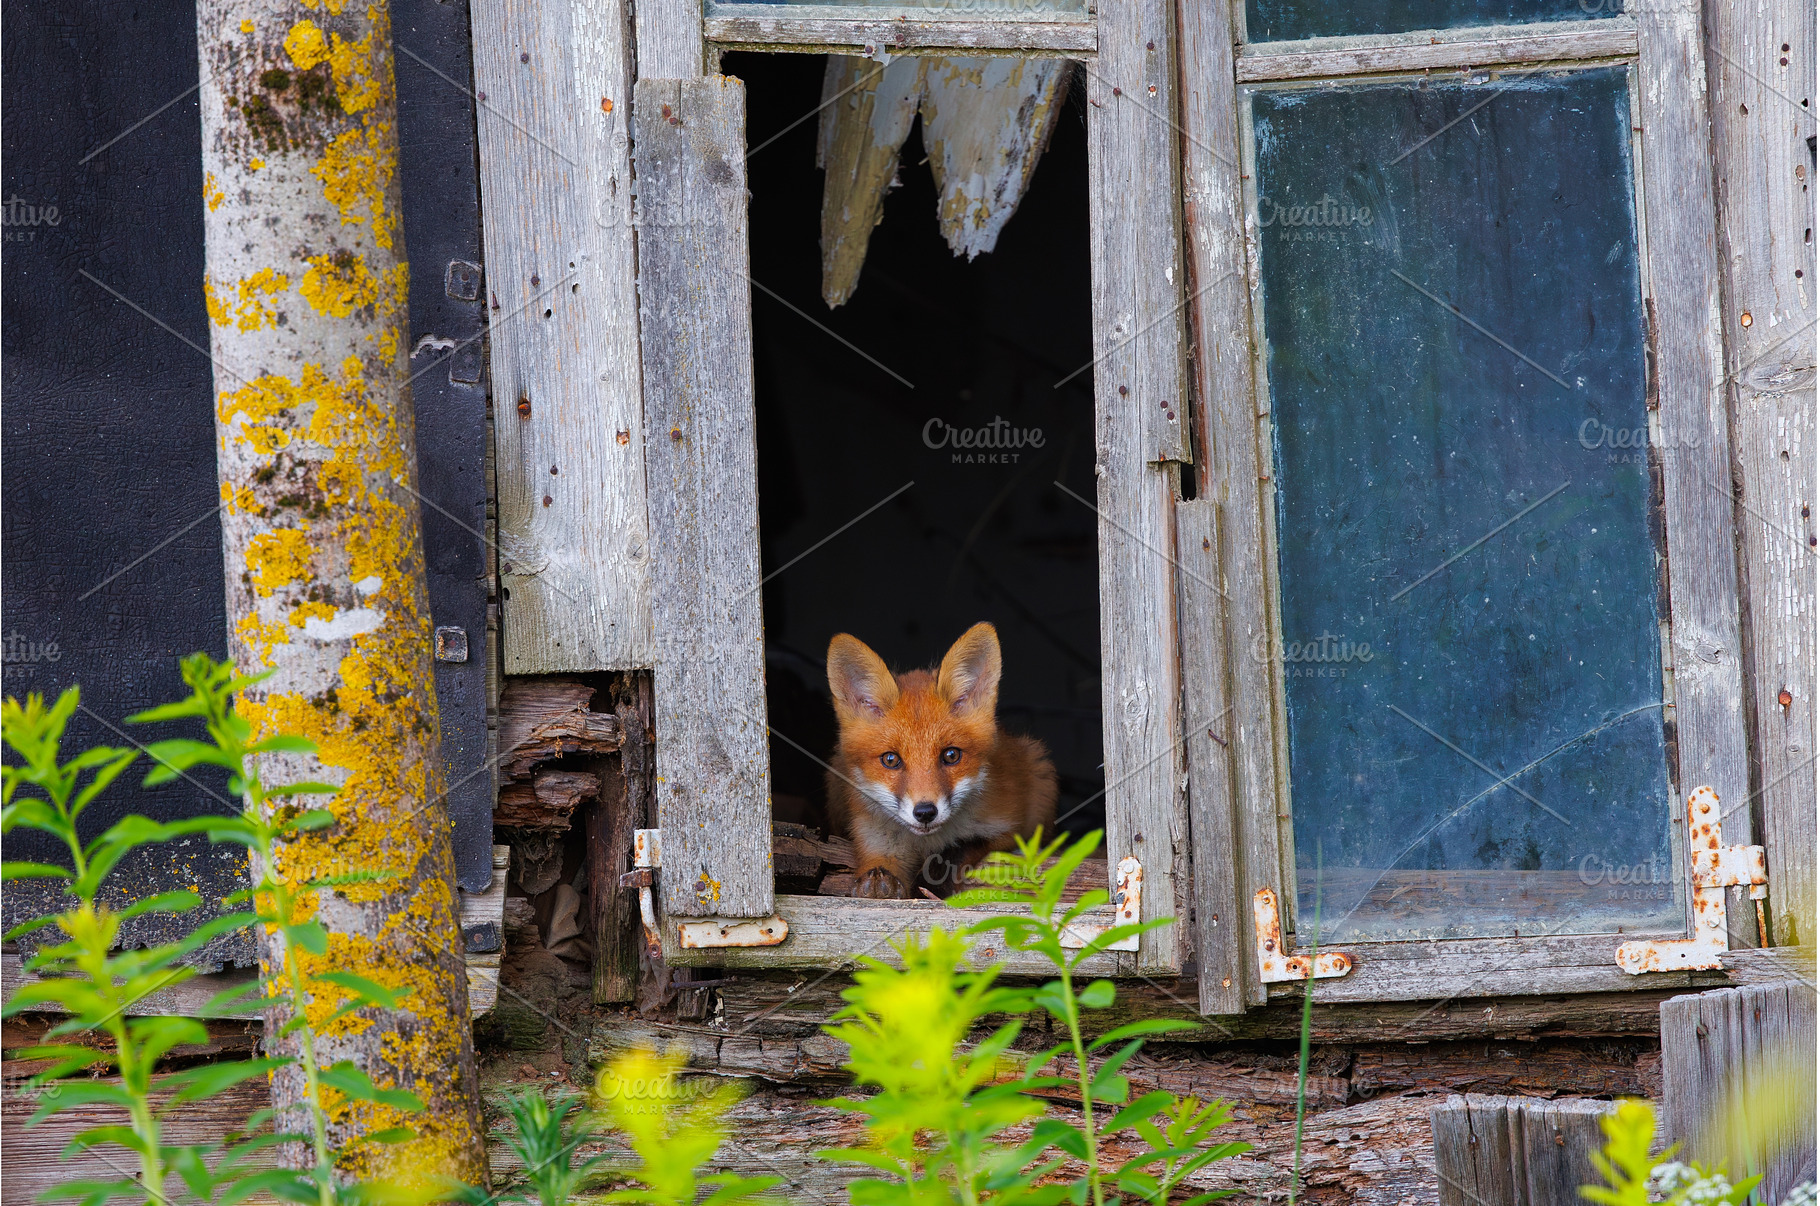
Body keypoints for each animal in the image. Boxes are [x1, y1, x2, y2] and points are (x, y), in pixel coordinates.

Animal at [823, 621, 1057, 899]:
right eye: (890, 759)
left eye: (951, 755)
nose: (925, 812)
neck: (923, 841)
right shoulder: (874, 838)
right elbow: (877, 863)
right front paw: (880, 881)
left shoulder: (1008, 828)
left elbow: (955, 850)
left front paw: (930, 885)